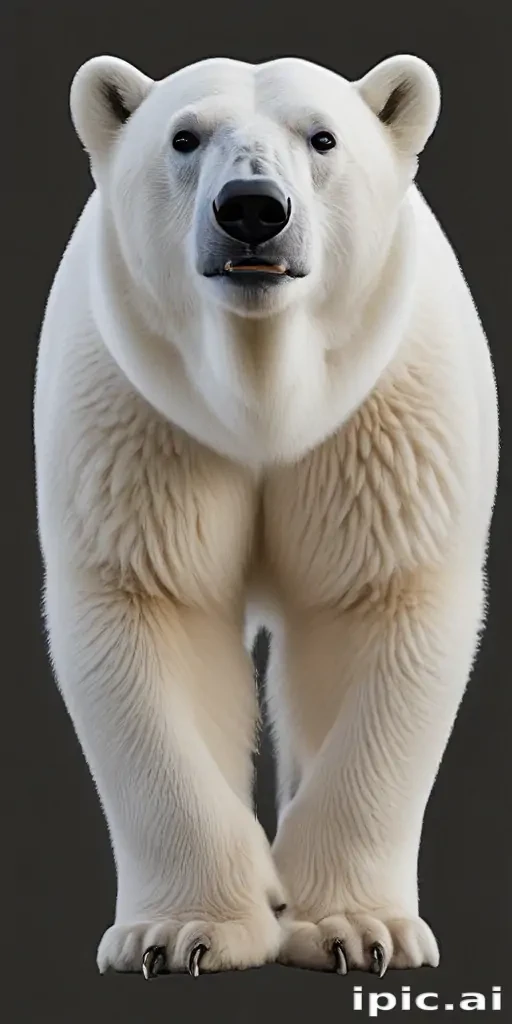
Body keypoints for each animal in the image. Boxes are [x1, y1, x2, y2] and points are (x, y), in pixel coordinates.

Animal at [34, 53, 499, 978]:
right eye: (184, 137)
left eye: (322, 137)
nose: (252, 209)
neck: (258, 396)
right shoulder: (143, 421)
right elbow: (153, 608)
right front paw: (180, 932)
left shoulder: (382, 421)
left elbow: (375, 607)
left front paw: (357, 929)